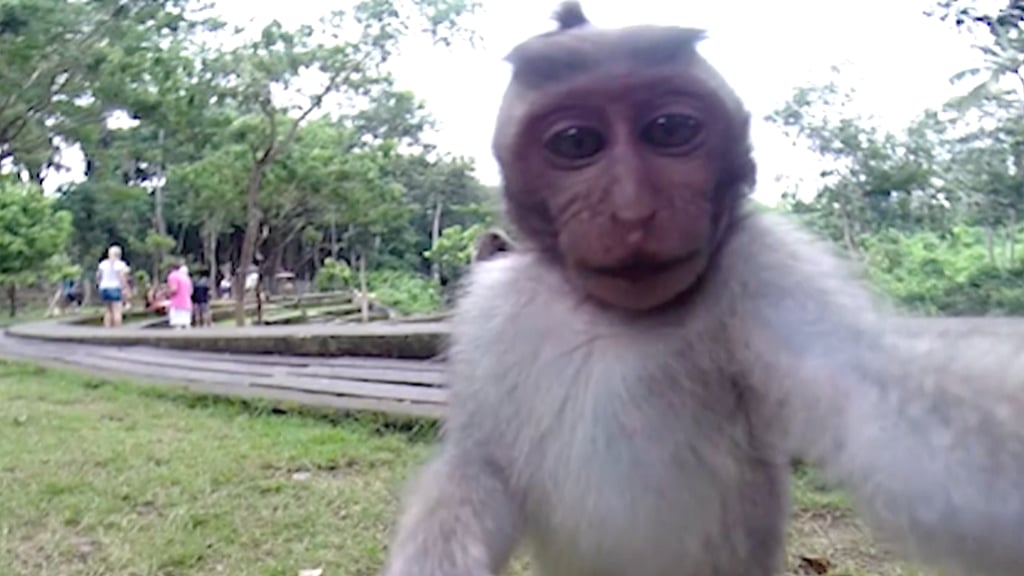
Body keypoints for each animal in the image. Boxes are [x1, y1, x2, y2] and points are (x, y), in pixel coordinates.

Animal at [381, 3, 1024, 576]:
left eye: (671, 129)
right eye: (576, 142)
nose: (632, 210)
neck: (614, 315)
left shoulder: (769, 273)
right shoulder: (492, 311)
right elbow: (477, 468)